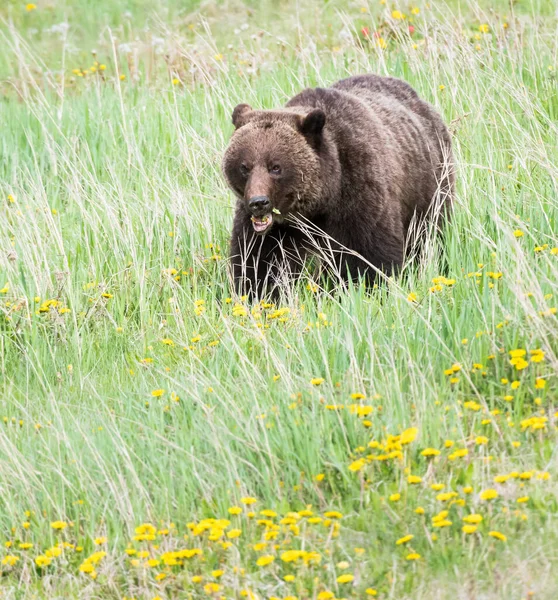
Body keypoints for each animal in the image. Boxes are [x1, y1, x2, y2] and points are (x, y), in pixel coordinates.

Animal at [223, 74, 456, 298]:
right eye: (244, 167)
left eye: (275, 167)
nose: (258, 202)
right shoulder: (273, 229)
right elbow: (259, 261)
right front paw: (259, 293)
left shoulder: (358, 194)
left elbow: (365, 257)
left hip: (428, 184)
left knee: (429, 235)